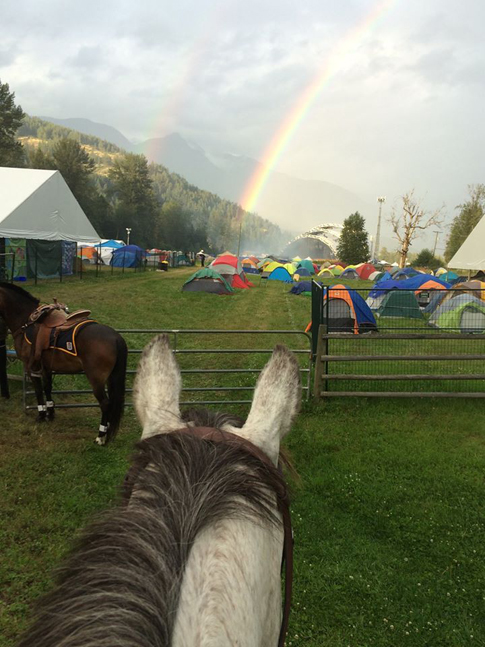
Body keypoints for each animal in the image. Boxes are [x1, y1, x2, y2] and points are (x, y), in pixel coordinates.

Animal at [0, 284, 126, 446]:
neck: (26, 322)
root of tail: (116, 337)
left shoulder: (30, 366)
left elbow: (38, 390)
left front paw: (41, 415)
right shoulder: (46, 368)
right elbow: (47, 389)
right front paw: (50, 413)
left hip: (96, 380)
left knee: (105, 404)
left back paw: (100, 435)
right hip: (110, 378)